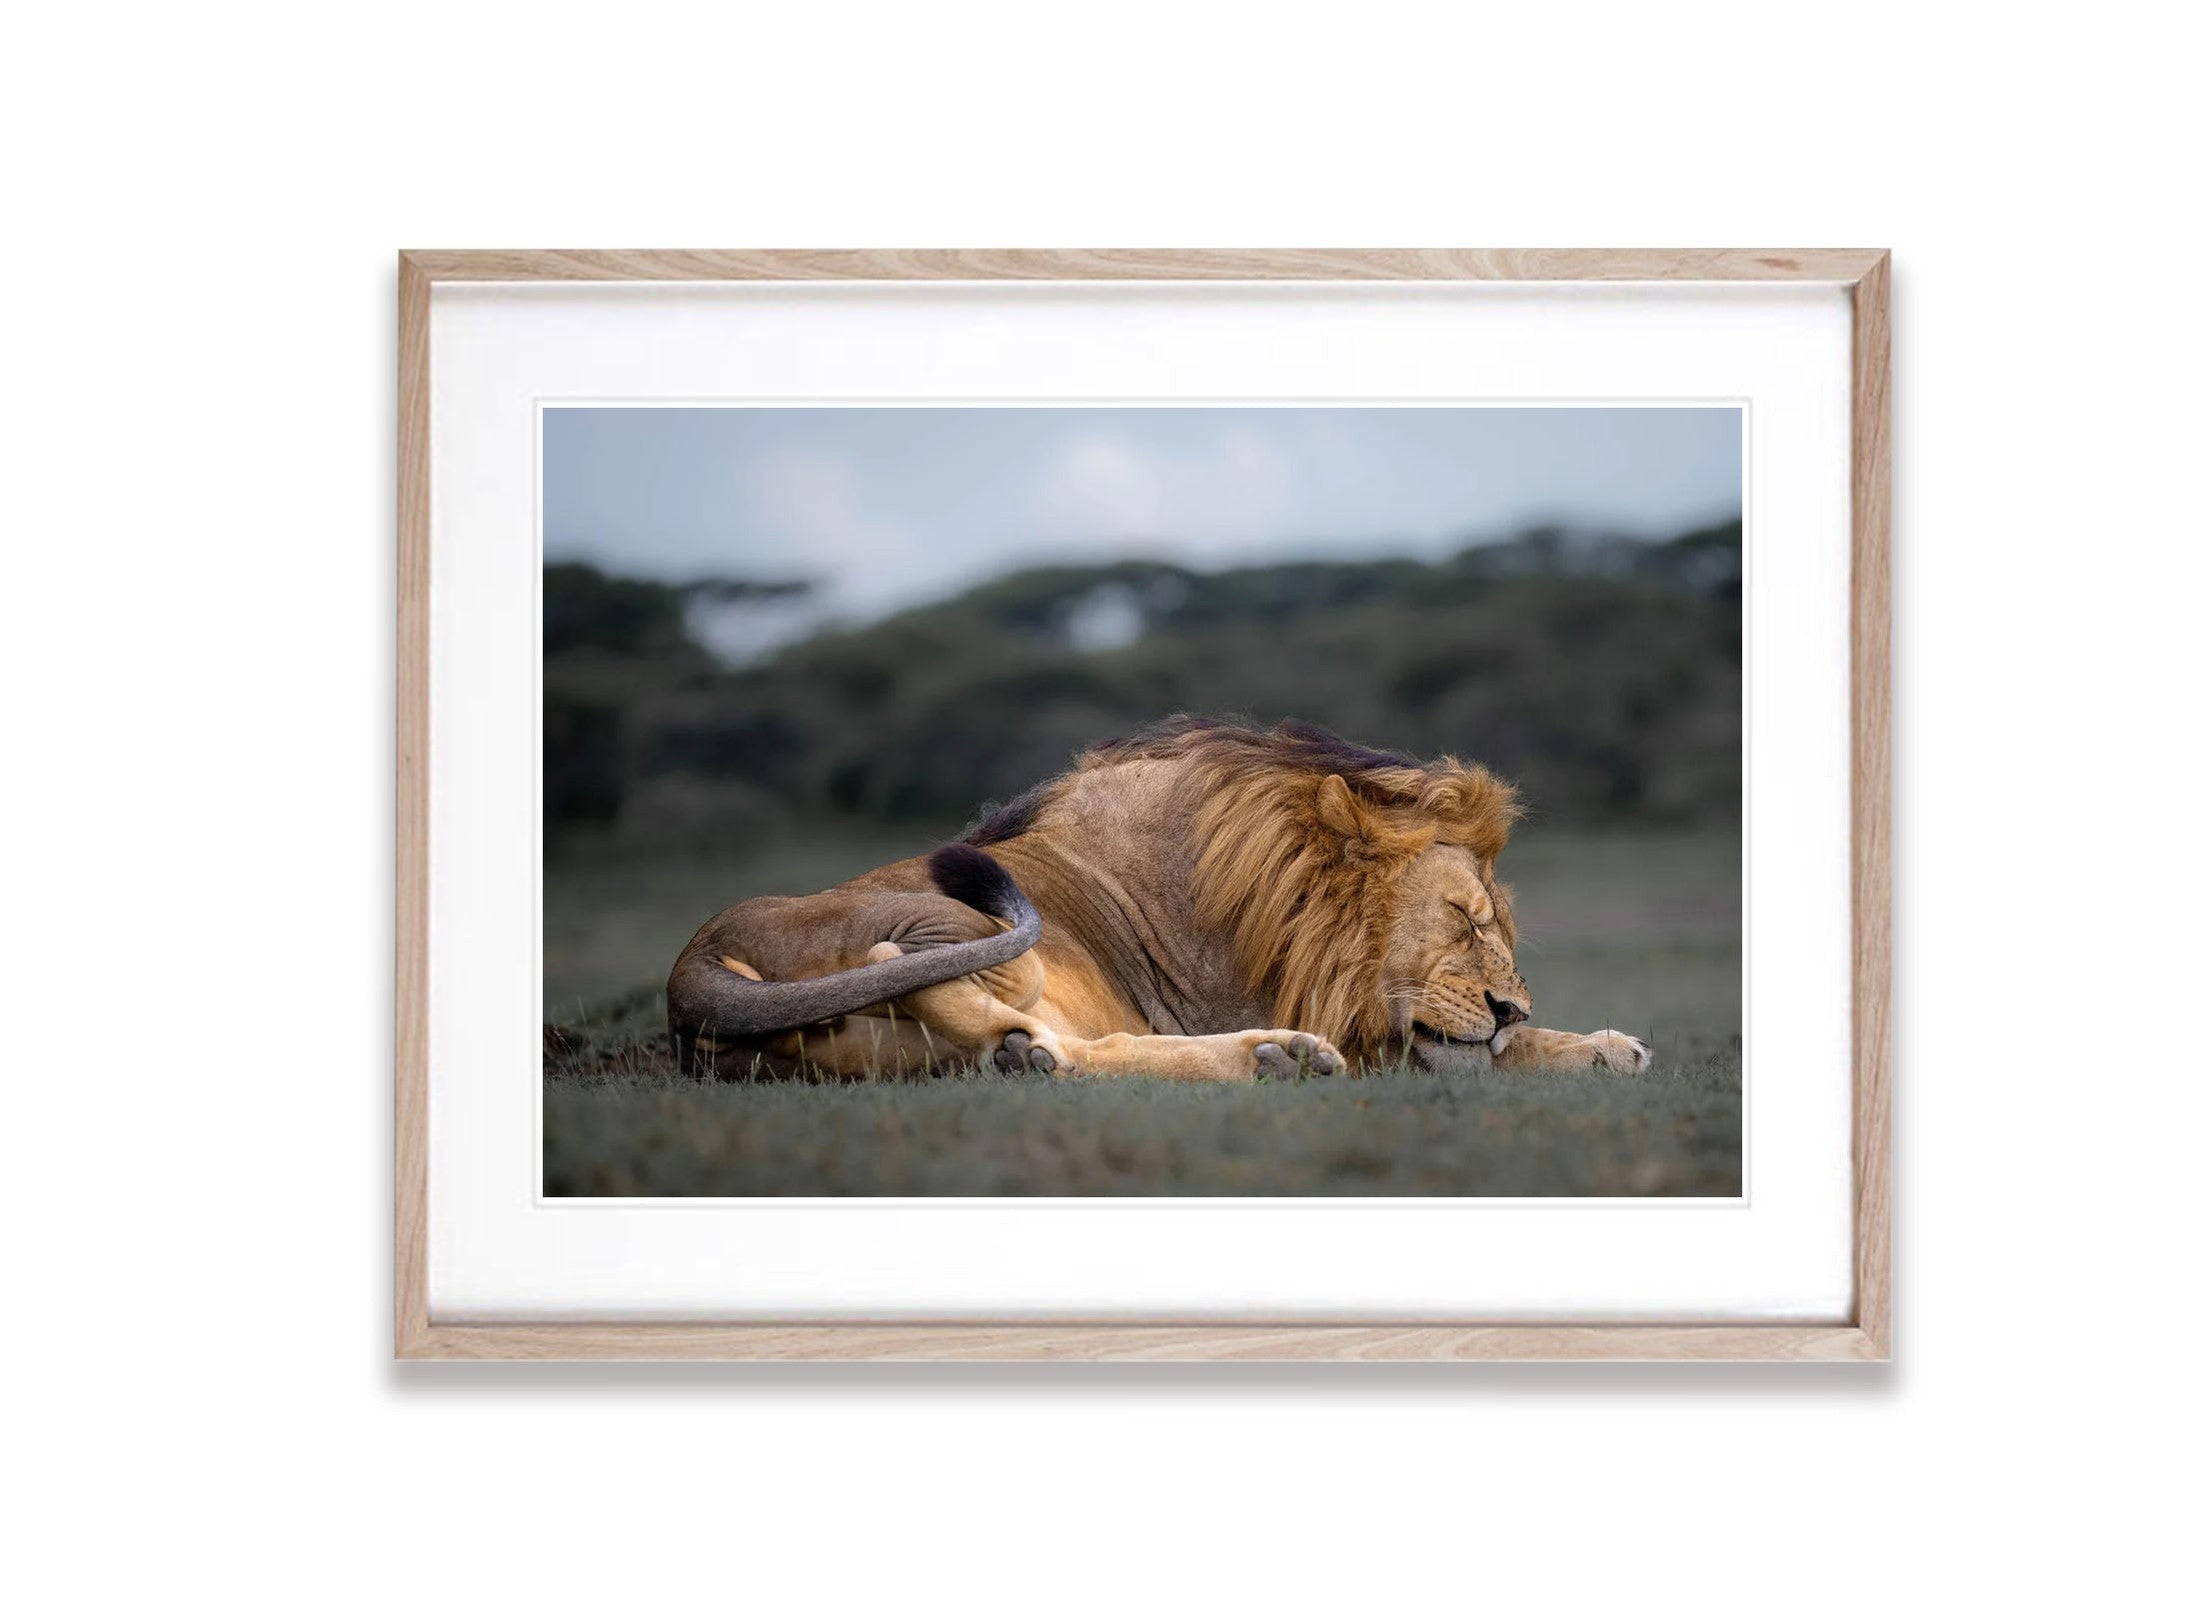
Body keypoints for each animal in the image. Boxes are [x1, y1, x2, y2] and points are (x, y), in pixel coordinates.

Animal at [667, 717, 1651, 1082]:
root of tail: (689, 967)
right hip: (969, 933)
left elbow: (1509, 1053)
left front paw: (1607, 1046)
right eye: (1460, 917)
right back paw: (1275, 1056)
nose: (1508, 1003)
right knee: (1045, 1041)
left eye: (1493, 924)